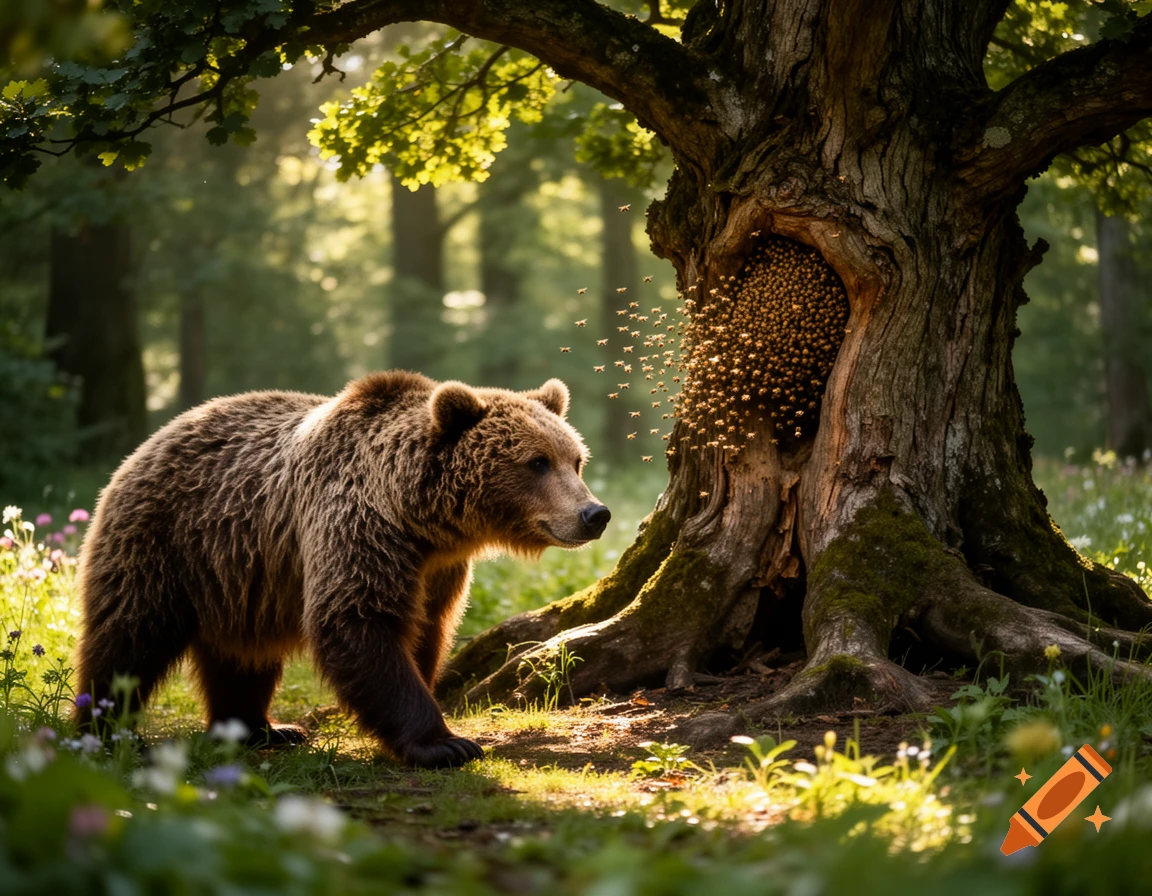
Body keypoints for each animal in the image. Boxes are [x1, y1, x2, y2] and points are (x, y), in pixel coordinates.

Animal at [73, 371, 610, 767]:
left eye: (576, 460)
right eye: (536, 462)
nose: (594, 514)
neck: (419, 516)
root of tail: (151, 440)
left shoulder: (438, 570)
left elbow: (426, 632)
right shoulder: (356, 525)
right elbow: (358, 621)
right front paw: (444, 743)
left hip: (238, 575)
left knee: (242, 656)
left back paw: (262, 728)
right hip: (165, 543)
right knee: (129, 637)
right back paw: (104, 730)